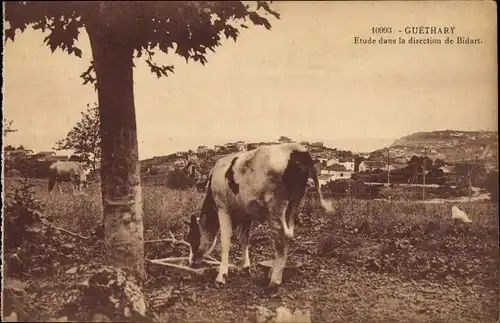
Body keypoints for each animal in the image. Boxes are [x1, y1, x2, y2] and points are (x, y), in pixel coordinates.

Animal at [186, 144, 334, 288]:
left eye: (192, 238)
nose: (190, 262)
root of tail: (298, 149)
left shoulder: (223, 208)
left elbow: (226, 241)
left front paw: (221, 277)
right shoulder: (246, 214)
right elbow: (244, 239)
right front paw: (246, 267)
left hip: (276, 206)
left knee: (282, 238)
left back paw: (274, 281)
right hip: (294, 203)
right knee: (289, 233)